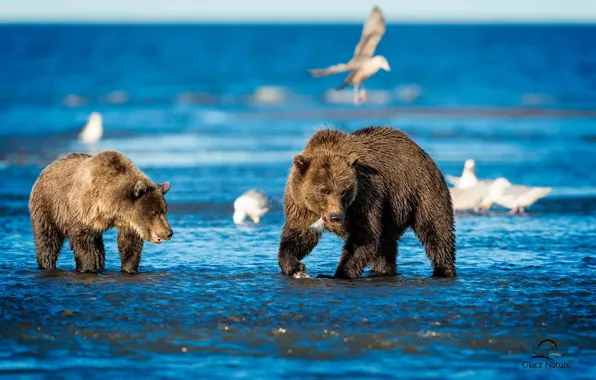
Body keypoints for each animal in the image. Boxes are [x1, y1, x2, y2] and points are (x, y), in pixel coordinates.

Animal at [29, 151, 173, 274]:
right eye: (155, 212)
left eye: (164, 211)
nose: (169, 232)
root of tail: (47, 169)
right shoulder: (82, 211)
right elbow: (83, 242)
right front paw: (87, 267)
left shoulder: (127, 222)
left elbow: (129, 244)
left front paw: (129, 268)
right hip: (48, 205)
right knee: (48, 239)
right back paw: (46, 264)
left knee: (99, 247)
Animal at [278, 126, 454, 278]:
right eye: (323, 191)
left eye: (344, 191)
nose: (336, 217)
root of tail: (421, 151)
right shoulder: (301, 205)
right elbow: (300, 235)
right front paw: (295, 266)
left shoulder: (364, 198)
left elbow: (363, 237)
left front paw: (337, 274)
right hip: (391, 213)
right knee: (385, 246)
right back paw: (383, 270)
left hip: (421, 190)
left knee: (435, 229)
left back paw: (444, 270)